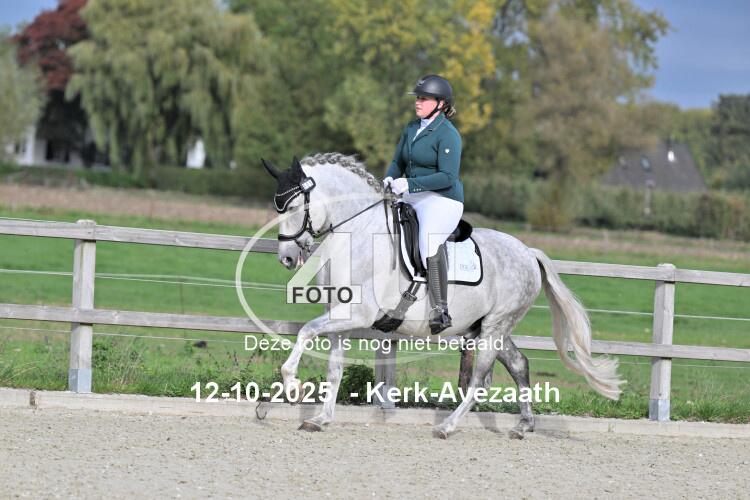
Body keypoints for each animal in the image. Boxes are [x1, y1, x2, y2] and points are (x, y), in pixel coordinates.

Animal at [261, 153, 623, 439]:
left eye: (294, 206)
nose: (287, 258)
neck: (358, 233)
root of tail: (528, 253)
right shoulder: (340, 314)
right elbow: (334, 367)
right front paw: (321, 419)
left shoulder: (357, 313)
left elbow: (306, 331)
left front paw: (292, 385)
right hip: (492, 328)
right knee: (519, 364)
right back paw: (523, 427)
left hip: (494, 327)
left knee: (479, 380)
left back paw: (447, 426)